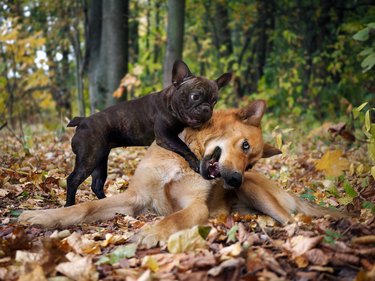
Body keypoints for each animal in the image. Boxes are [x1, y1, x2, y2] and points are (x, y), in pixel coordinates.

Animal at [19, 99, 346, 246]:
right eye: (243, 146)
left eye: (251, 162)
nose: (234, 179)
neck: (183, 158)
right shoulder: (133, 199)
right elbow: (84, 208)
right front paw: (43, 216)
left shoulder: (196, 207)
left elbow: (173, 219)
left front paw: (150, 233)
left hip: (255, 191)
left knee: (293, 220)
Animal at [64, 60, 232, 206]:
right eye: (195, 96)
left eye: (214, 101)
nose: (206, 108)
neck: (170, 103)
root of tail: (83, 121)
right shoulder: (165, 136)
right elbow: (184, 148)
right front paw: (196, 162)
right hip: (89, 158)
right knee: (73, 180)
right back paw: (69, 205)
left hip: (100, 159)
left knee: (97, 184)